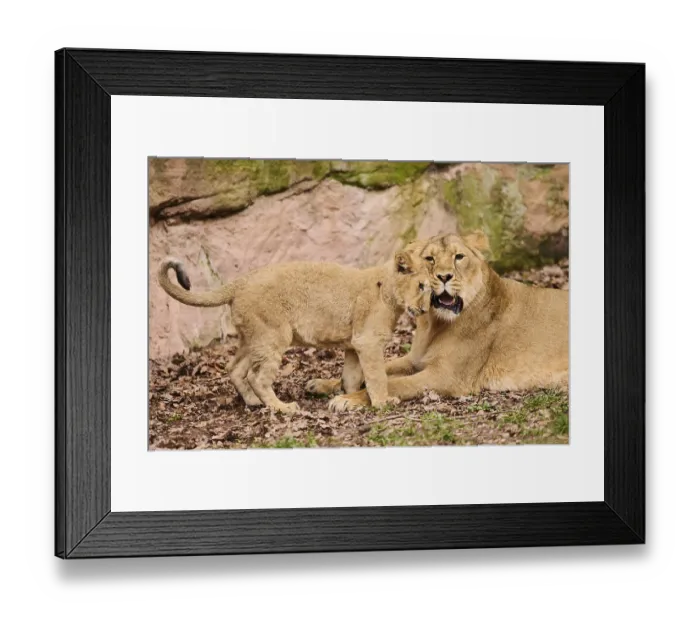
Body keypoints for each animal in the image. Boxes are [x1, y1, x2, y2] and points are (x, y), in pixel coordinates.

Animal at [157, 254, 431, 414]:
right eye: (422, 286)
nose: (426, 309)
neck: (389, 291)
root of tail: (241, 281)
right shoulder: (368, 342)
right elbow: (377, 376)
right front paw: (383, 402)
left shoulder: (354, 345)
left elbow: (352, 378)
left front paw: (347, 398)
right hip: (273, 336)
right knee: (258, 377)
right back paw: (282, 407)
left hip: (253, 338)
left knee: (234, 368)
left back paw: (253, 402)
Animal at [310, 232, 569, 410]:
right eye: (430, 258)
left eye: (459, 257)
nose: (444, 276)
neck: (434, 324)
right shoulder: (414, 359)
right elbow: (382, 369)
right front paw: (323, 383)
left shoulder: (447, 376)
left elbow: (394, 383)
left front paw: (347, 399)